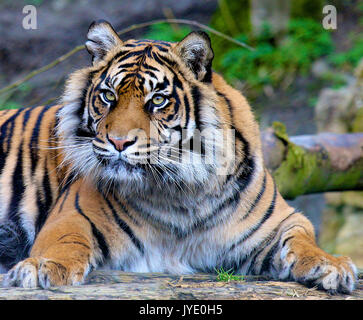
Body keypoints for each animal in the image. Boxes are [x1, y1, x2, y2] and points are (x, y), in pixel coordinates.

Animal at [0, 20, 358, 296]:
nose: (118, 142)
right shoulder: (71, 216)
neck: (180, 193)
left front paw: (333, 265)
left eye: (157, 100)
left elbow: (304, 240)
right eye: (108, 96)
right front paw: (41, 266)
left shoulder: (280, 221)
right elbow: (64, 242)